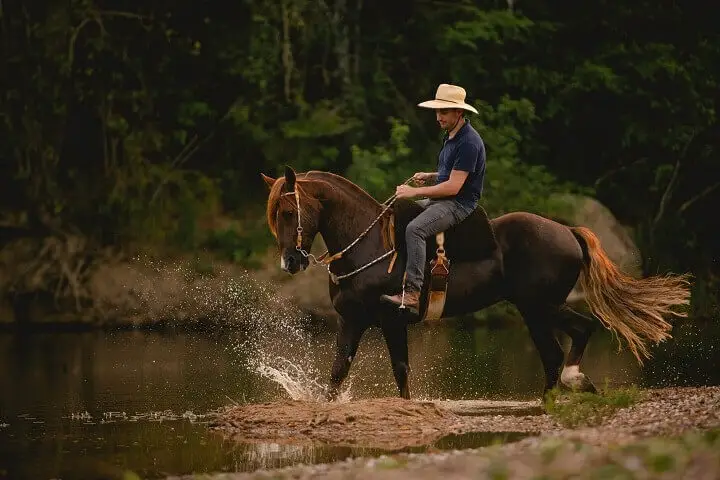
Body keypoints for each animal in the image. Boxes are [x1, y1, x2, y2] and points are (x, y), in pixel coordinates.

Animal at [262, 167, 688, 400]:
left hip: (541, 307)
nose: (290, 261)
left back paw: (571, 382)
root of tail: (567, 231)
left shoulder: (391, 320)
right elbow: (338, 371)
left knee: (575, 336)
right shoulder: (352, 321)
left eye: (288, 211)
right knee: (559, 349)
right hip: (536, 310)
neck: (370, 244)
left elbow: (400, 370)